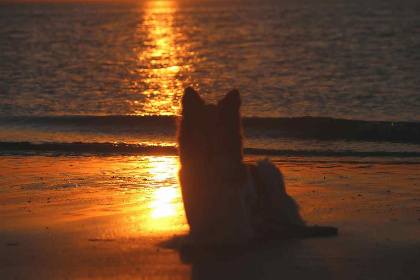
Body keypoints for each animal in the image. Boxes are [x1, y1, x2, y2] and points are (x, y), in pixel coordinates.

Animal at [179, 86, 336, 244]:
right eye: (200, 125)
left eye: (219, 126)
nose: (210, 143)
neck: (211, 167)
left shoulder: (240, 229)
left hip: (268, 172)